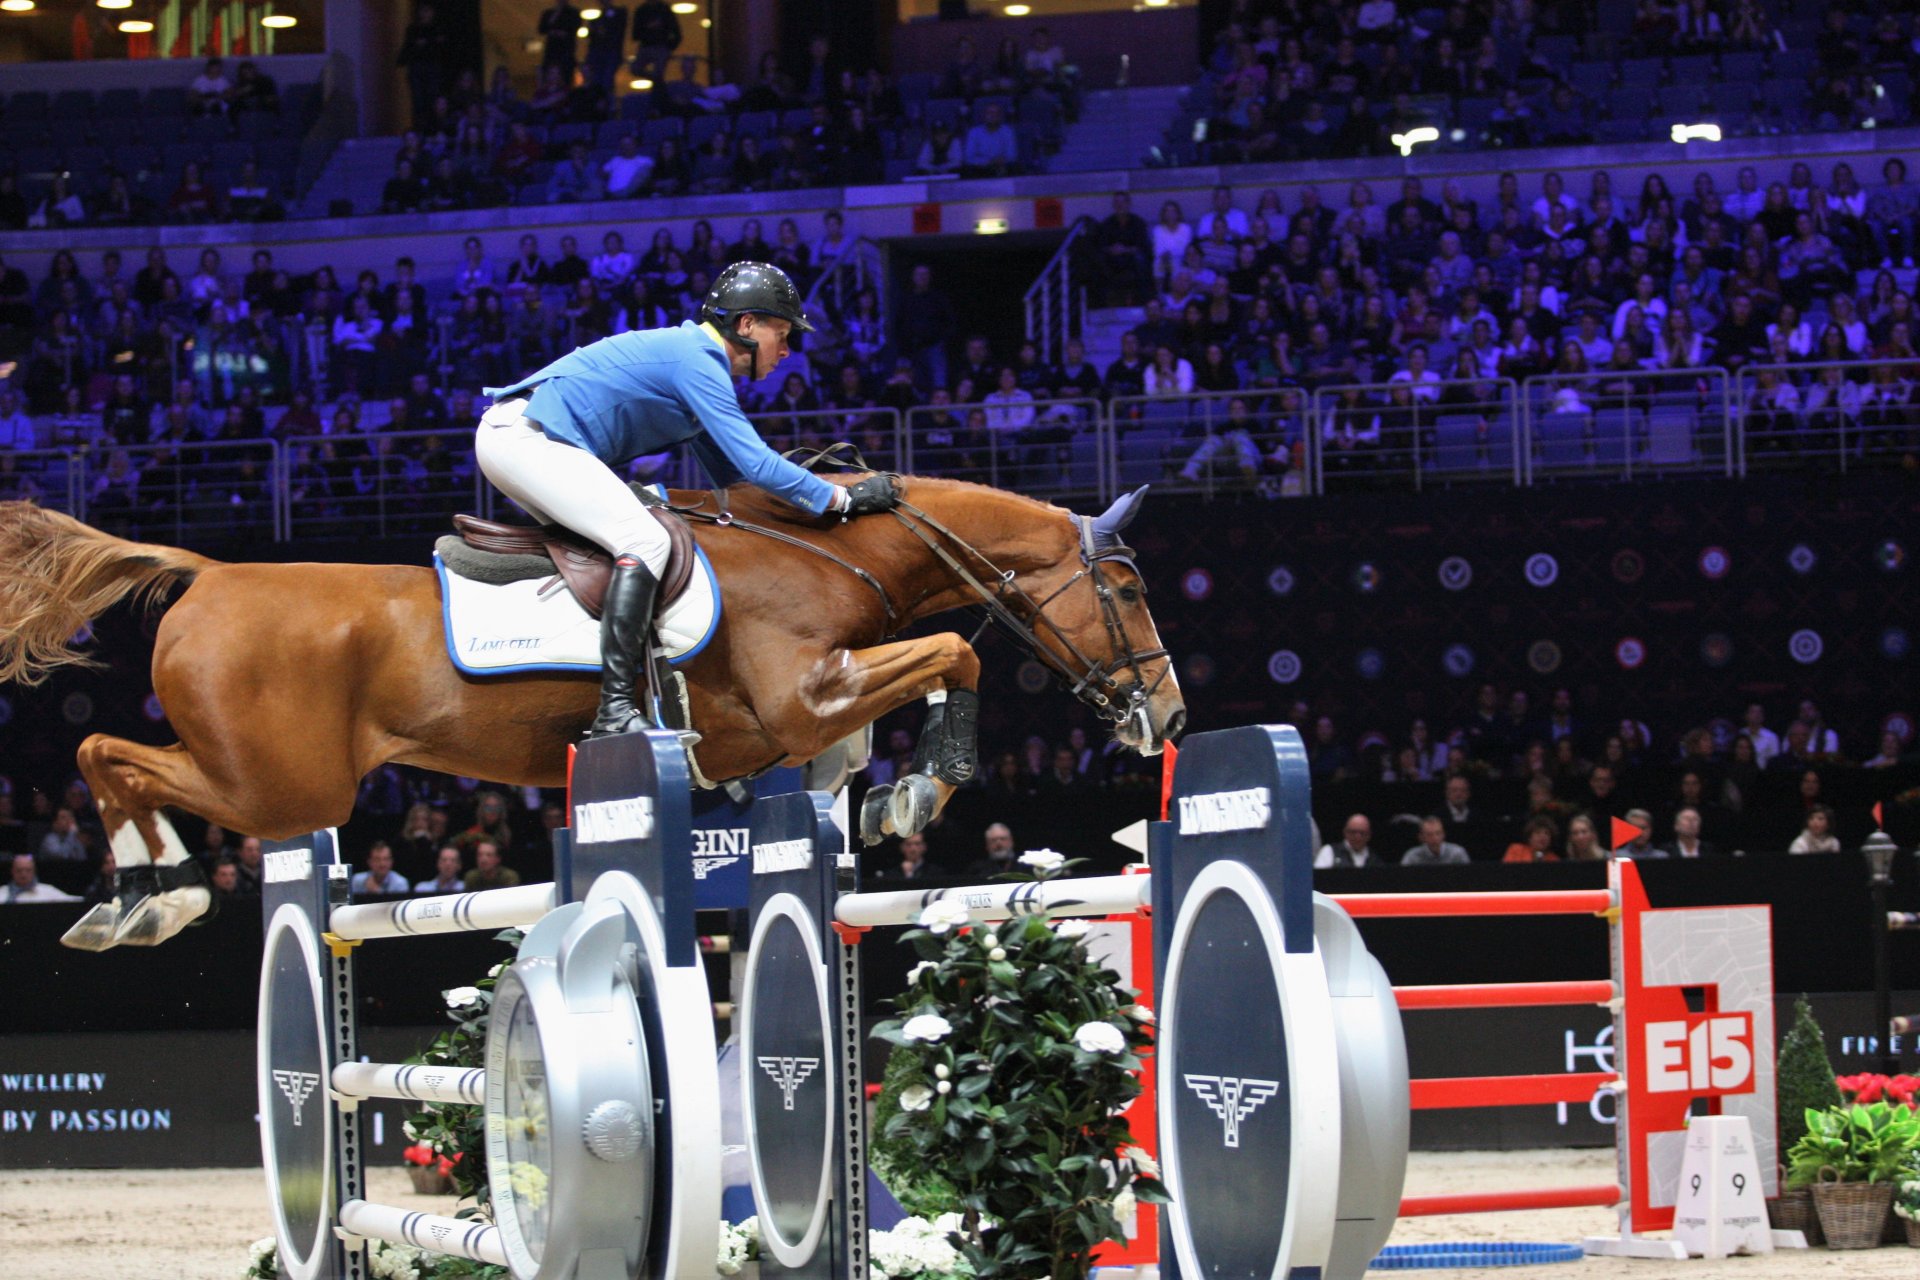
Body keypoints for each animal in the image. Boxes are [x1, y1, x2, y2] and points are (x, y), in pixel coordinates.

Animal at [0, 479, 1175, 951]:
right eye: (1125, 588)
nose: (1165, 713)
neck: (821, 553)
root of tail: (210, 574)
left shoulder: (802, 718)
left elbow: (895, 704)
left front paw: (893, 793)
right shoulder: (802, 698)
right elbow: (950, 654)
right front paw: (925, 784)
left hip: (274, 779)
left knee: (106, 750)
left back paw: (135, 896)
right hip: (283, 783)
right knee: (109, 750)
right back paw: (158, 892)